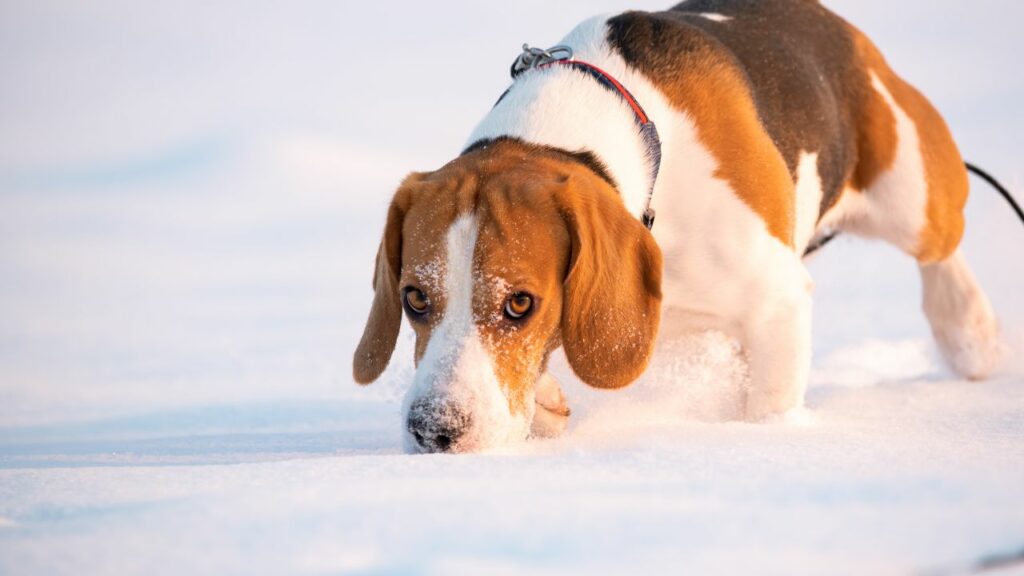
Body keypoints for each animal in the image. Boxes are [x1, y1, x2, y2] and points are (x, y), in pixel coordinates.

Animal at [352, 0, 999, 450]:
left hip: (912, 192)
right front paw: (547, 401)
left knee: (942, 244)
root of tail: (837, 28)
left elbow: (770, 404)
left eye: (519, 304)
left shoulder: (778, 301)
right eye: (414, 298)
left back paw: (969, 331)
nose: (435, 431)